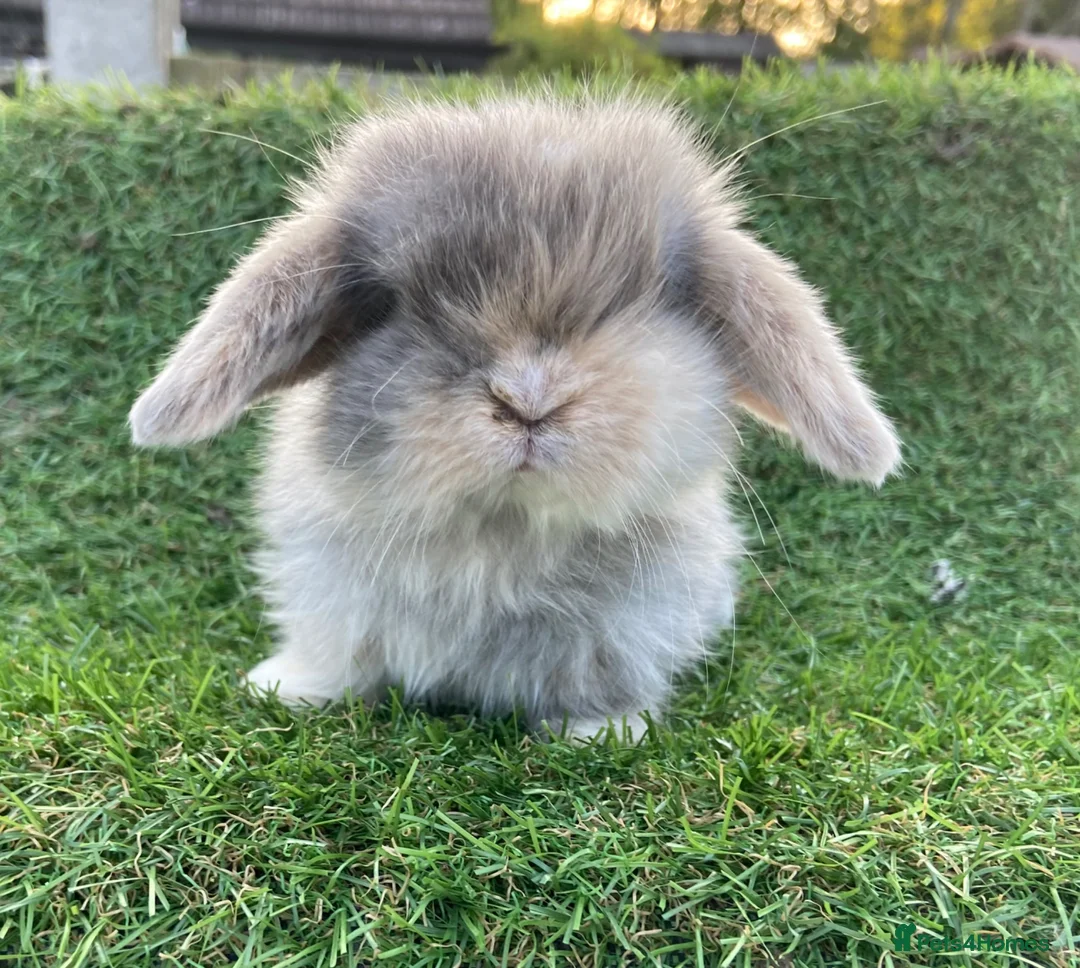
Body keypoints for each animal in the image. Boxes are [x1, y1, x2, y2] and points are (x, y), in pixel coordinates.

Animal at [129, 93, 900, 742]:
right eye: (391, 304)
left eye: (649, 298)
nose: (529, 399)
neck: (502, 527)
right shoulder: (330, 589)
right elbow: (338, 654)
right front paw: (286, 689)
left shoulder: (624, 626)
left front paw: (603, 732)